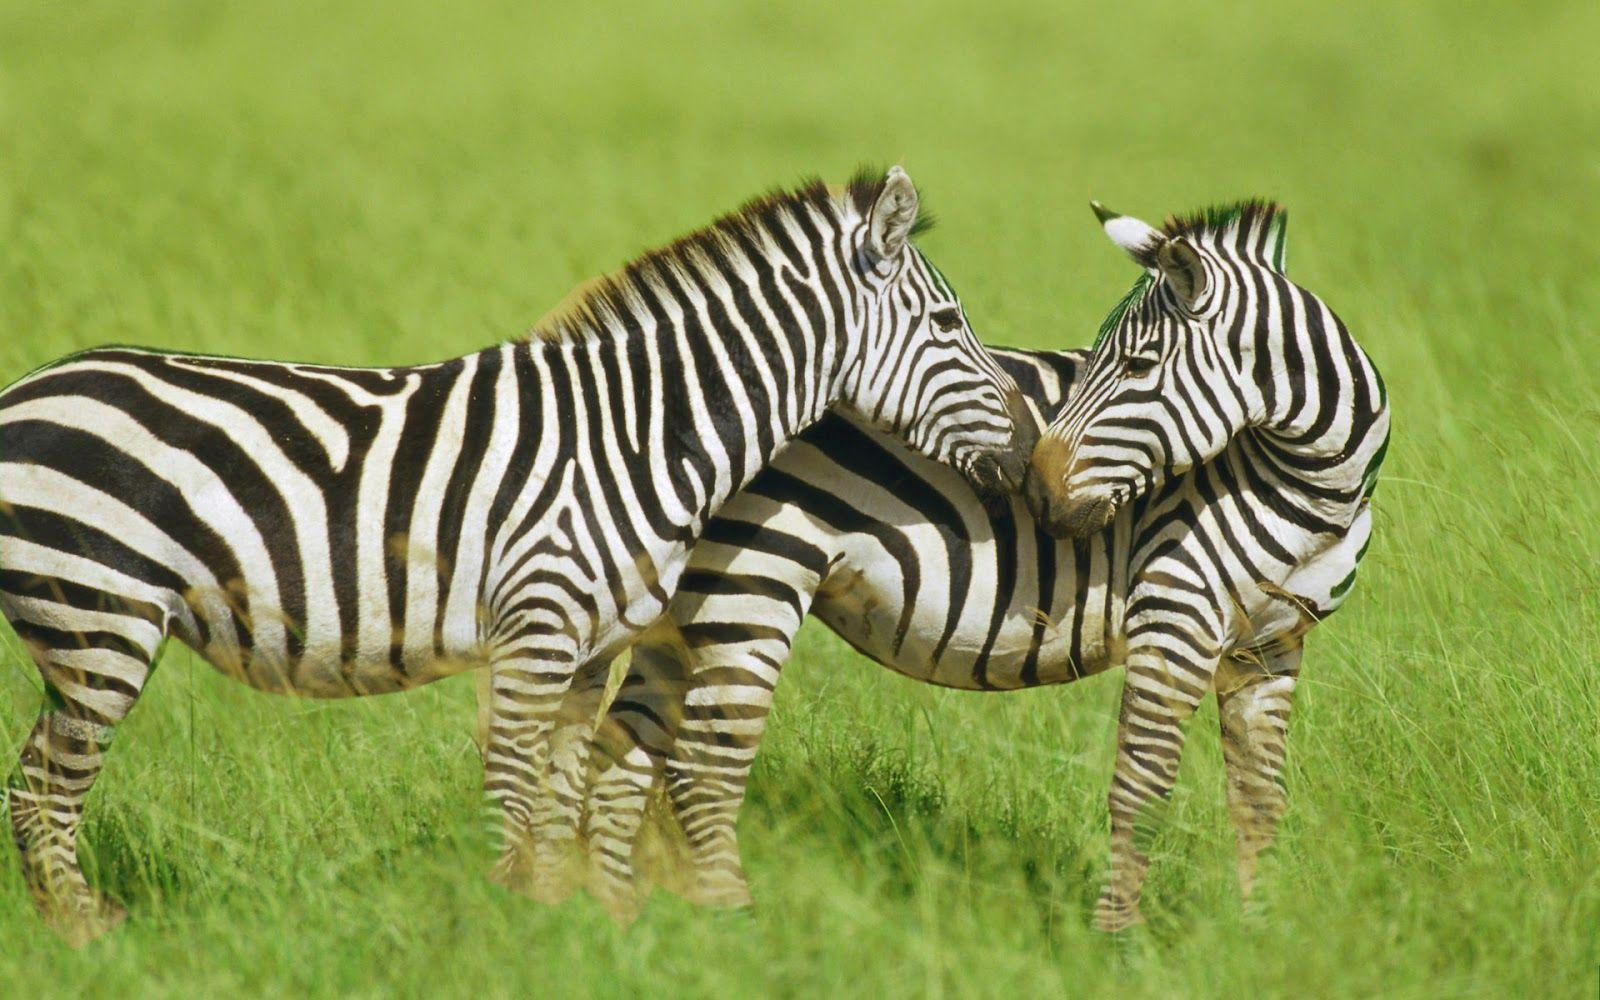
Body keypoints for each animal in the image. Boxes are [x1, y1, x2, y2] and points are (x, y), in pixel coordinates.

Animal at [0, 166, 1039, 944]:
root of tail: (27, 389)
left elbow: (560, 795)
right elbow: (512, 787)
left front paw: (568, 925)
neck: (638, 434)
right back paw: (85, 939)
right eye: (950, 326)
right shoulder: (536, 626)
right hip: (99, 618)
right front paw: (516, 932)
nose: (1034, 450)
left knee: (37, 785)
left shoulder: (589, 649)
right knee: (44, 790)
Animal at [556, 200, 1389, 930]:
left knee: (622, 749)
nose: (1036, 488)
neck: (1313, 490)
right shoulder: (1175, 617)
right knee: (698, 767)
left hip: (686, 600)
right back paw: (729, 928)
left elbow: (1260, 804)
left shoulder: (1272, 646)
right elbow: (1142, 788)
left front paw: (1258, 936)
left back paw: (624, 919)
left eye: (1141, 362)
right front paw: (1118, 942)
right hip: (754, 571)